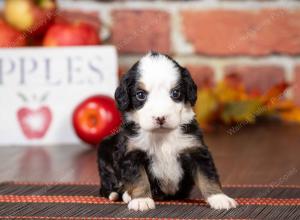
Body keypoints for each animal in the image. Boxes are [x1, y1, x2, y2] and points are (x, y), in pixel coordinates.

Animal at [97, 52, 238, 211]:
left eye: (175, 93)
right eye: (140, 95)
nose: (160, 118)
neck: (162, 135)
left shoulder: (195, 150)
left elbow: (207, 176)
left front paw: (219, 198)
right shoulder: (131, 151)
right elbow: (139, 178)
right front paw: (141, 200)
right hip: (104, 151)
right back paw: (120, 194)